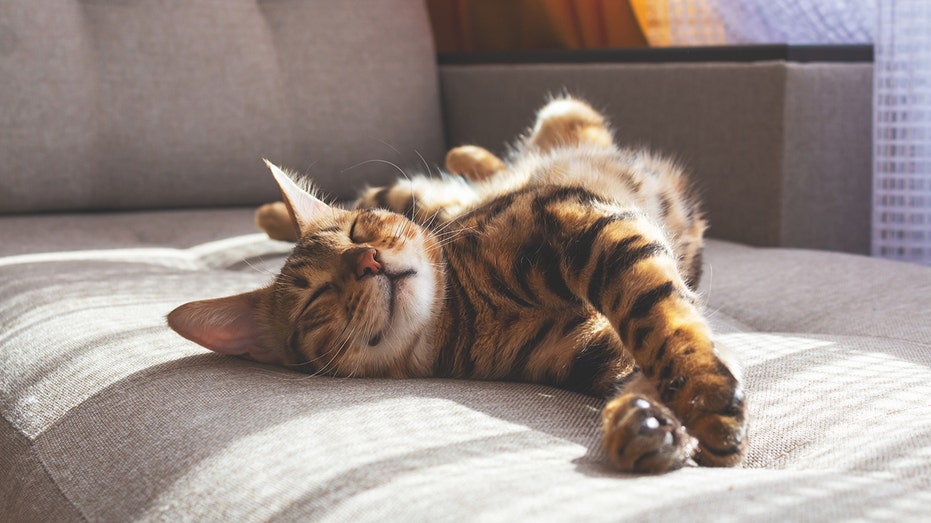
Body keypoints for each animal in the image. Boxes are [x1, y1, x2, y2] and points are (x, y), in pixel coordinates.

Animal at [169, 96, 748, 472]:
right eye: (317, 298)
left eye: (358, 232)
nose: (368, 260)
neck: (466, 312)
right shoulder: (592, 348)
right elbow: (643, 357)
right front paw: (648, 424)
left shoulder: (578, 217)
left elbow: (660, 318)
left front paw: (702, 399)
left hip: (523, 143)